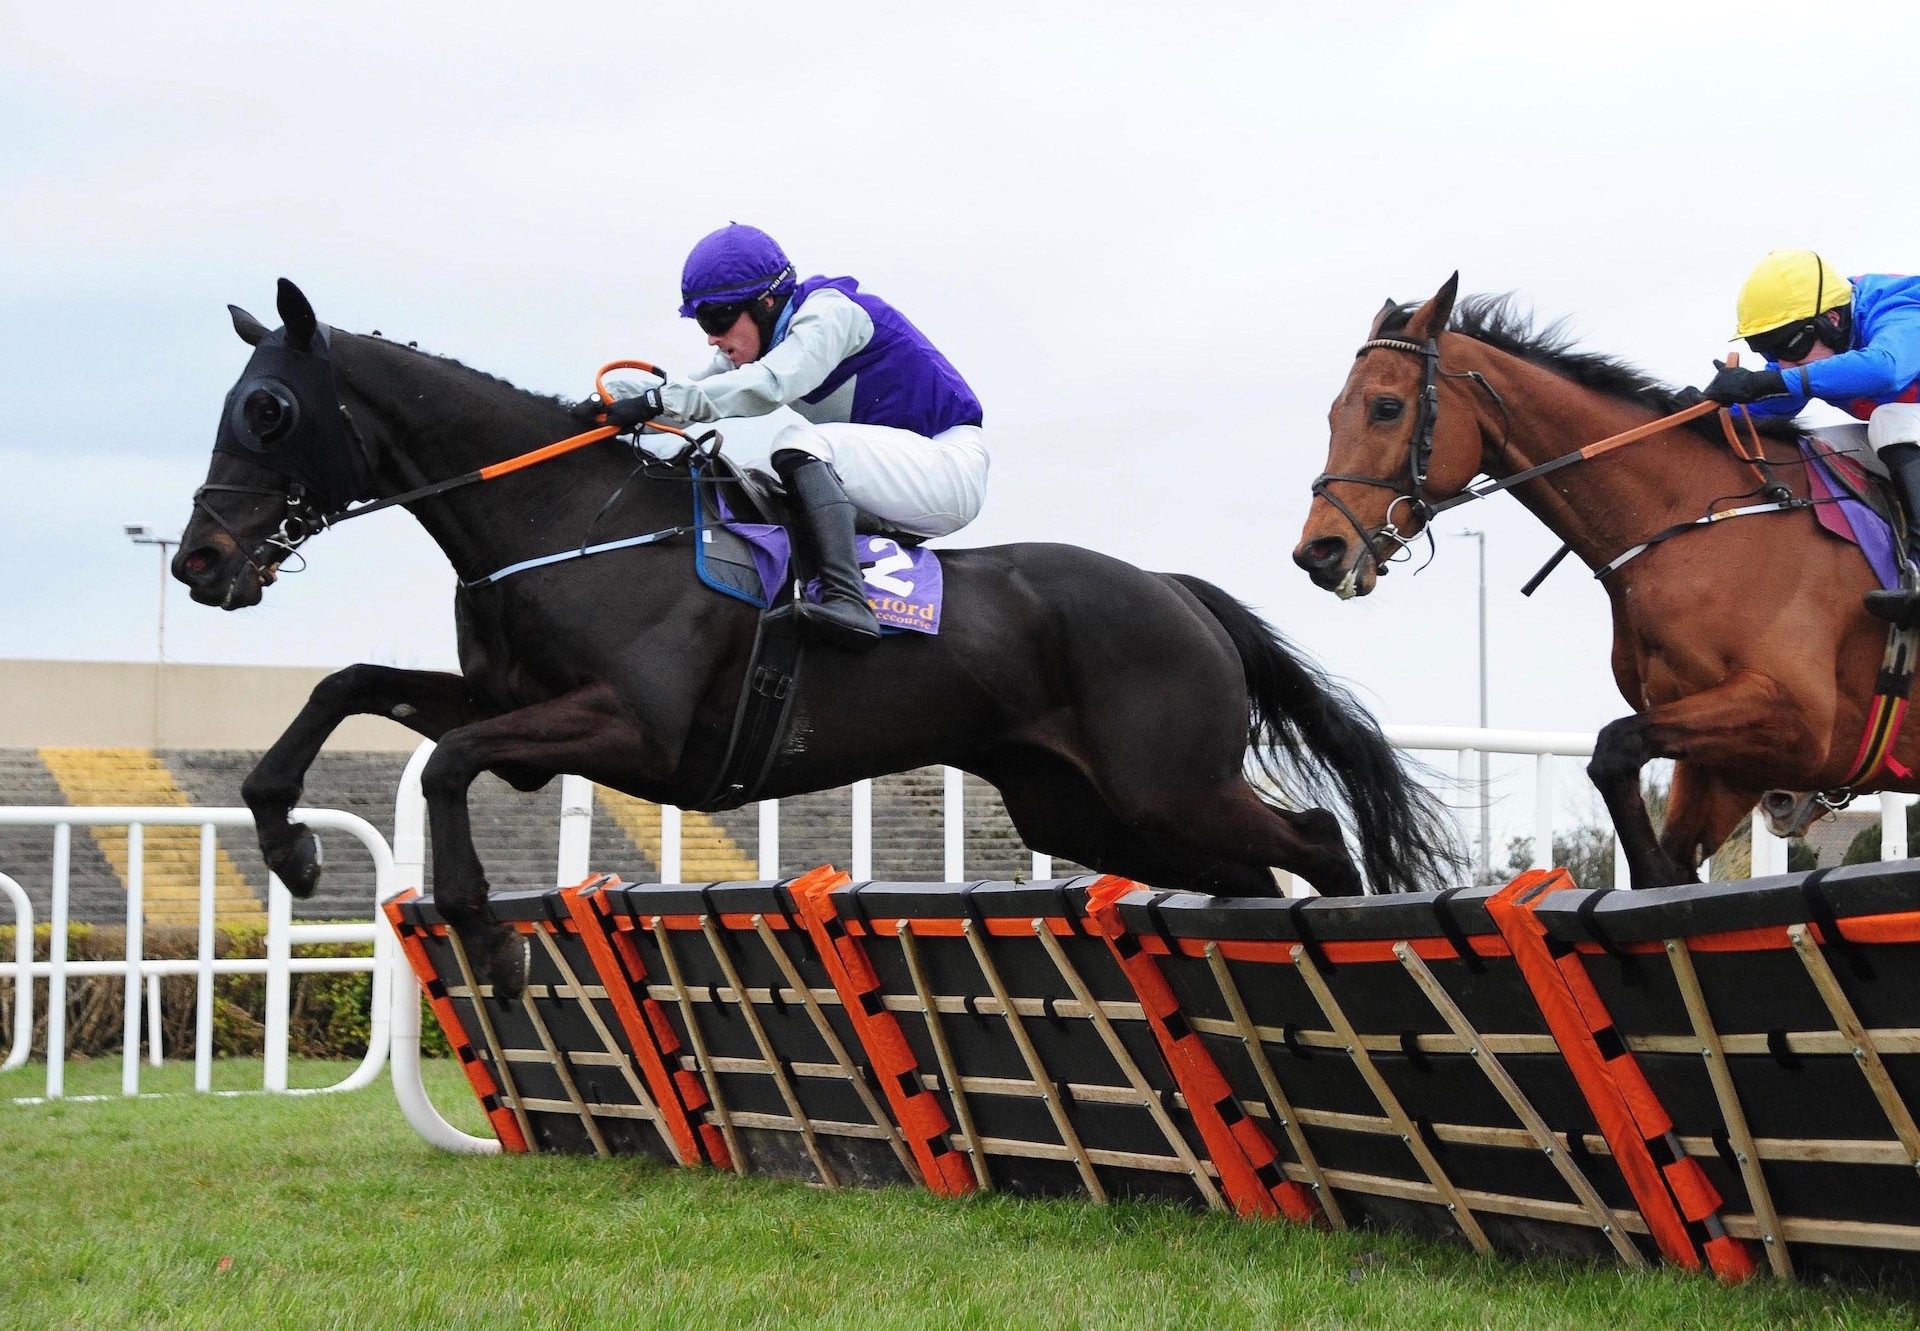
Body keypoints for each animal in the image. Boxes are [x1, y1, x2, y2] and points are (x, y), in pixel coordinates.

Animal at [176, 280, 1451, 991]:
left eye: (268, 410)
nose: (199, 561)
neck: (567, 518)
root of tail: (1176, 591)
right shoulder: (514, 705)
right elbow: (349, 687)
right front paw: (289, 841)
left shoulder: (630, 730)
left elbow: (446, 762)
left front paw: (488, 937)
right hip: (1089, 807)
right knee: (1249, 868)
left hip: (1166, 782)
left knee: (1315, 837)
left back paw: (1351, 941)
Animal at [1290, 274, 1920, 887]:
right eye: (1332, 413)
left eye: (1387, 407)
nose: (1319, 551)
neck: (1695, 524)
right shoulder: (1722, 764)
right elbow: (1661, 842)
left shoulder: (1798, 720)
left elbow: (1614, 747)